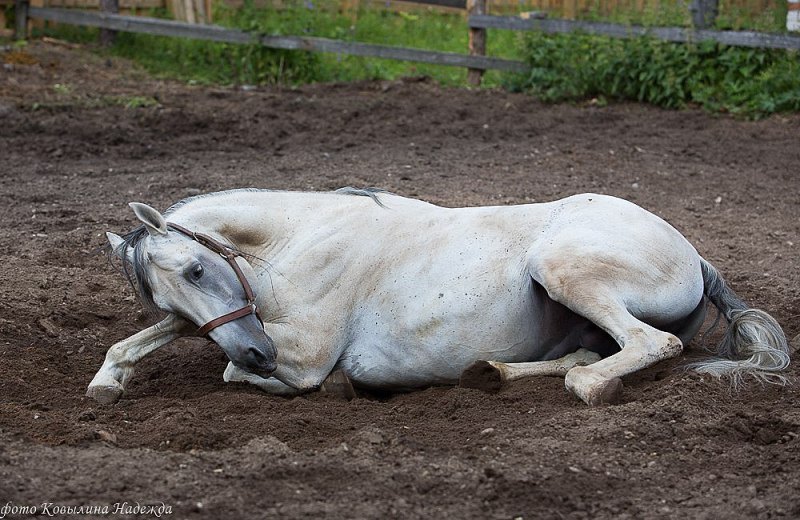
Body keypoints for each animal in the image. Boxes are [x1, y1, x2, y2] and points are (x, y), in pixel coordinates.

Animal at [86, 188, 788, 406]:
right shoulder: (244, 322)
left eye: (197, 270)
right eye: (171, 295)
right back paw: (492, 371)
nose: (259, 354)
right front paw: (108, 378)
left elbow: (237, 373)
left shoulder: (302, 357)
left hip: (562, 267)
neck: (297, 239)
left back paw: (588, 388)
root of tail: (695, 256)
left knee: (643, 346)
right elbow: (148, 340)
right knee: (591, 354)